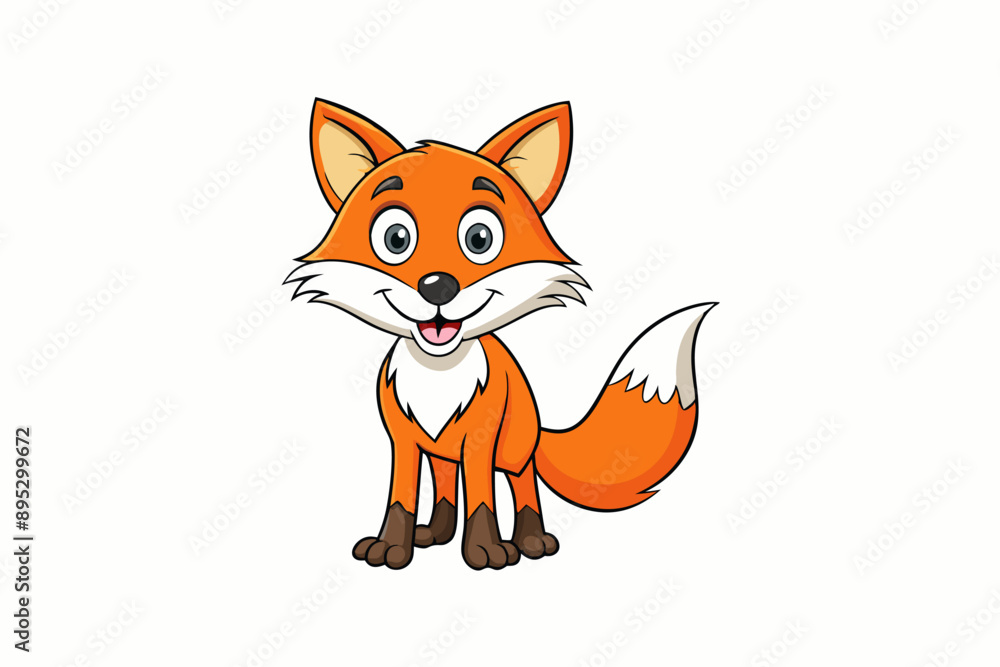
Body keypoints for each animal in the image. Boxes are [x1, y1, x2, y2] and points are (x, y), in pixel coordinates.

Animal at [286, 99, 714, 570]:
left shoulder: (480, 439)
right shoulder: (405, 440)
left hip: (513, 449)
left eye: (479, 238)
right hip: (441, 452)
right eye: (396, 238)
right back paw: (435, 533)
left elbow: (482, 499)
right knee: (444, 488)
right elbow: (400, 500)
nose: (438, 286)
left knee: (522, 487)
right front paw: (392, 547)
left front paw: (485, 551)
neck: (438, 375)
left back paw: (532, 541)